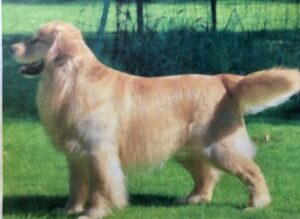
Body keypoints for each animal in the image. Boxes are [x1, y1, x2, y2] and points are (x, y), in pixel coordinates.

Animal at [10, 21, 300, 218]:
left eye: (35, 39)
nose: (12, 46)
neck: (70, 80)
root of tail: (223, 79)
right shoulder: (75, 155)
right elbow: (77, 186)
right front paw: (69, 210)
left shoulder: (98, 151)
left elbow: (101, 186)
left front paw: (94, 212)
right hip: (187, 150)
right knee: (206, 175)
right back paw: (193, 199)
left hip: (222, 148)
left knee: (252, 172)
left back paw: (257, 204)